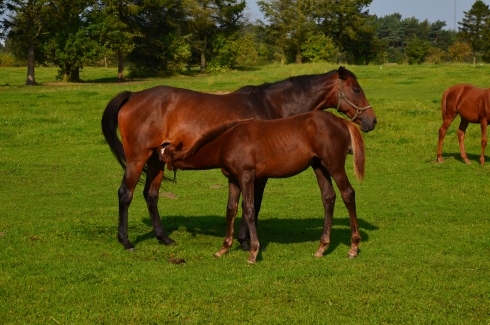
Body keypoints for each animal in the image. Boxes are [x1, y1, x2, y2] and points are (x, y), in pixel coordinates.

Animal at [160, 111, 364, 264]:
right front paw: (223, 248)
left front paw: (253, 252)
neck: (228, 140)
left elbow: (249, 209)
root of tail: (341, 121)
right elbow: (230, 210)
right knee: (328, 198)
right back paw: (322, 248)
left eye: (161, 156)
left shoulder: (247, 176)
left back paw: (353, 248)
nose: (158, 174)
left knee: (348, 194)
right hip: (319, 166)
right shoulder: (233, 179)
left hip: (334, 166)